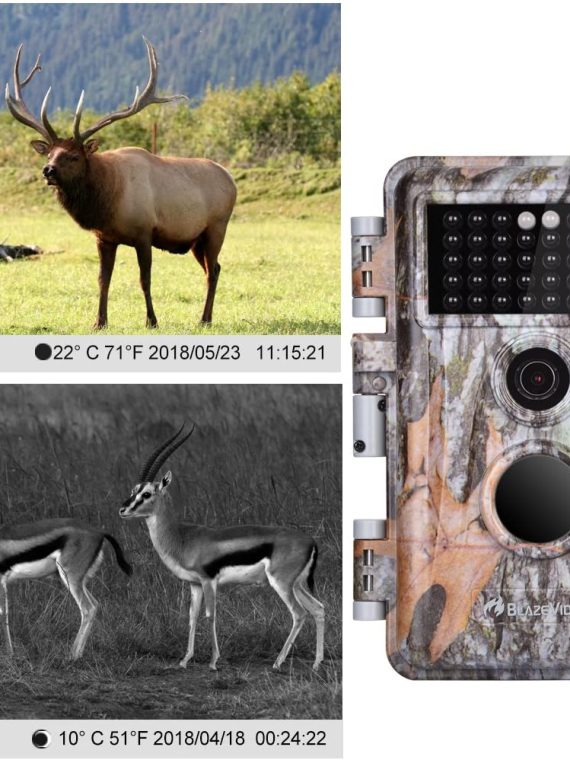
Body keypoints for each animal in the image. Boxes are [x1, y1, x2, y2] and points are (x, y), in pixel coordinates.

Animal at [5, 39, 237, 329]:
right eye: (49, 154)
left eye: (73, 156)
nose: (48, 171)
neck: (108, 200)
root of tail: (231, 179)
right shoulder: (104, 238)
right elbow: (103, 280)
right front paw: (99, 322)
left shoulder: (144, 233)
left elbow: (144, 280)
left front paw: (152, 321)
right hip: (196, 239)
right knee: (214, 267)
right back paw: (206, 317)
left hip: (217, 227)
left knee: (213, 271)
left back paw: (204, 319)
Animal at [119, 425, 325, 672]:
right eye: (134, 490)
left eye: (147, 494)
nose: (122, 510)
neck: (182, 538)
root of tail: (311, 541)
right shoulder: (194, 584)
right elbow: (192, 617)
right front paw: (185, 660)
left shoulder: (209, 581)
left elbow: (211, 616)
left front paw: (213, 662)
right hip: (297, 585)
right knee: (318, 609)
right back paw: (316, 663)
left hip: (282, 583)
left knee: (299, 613)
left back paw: (277, 663)